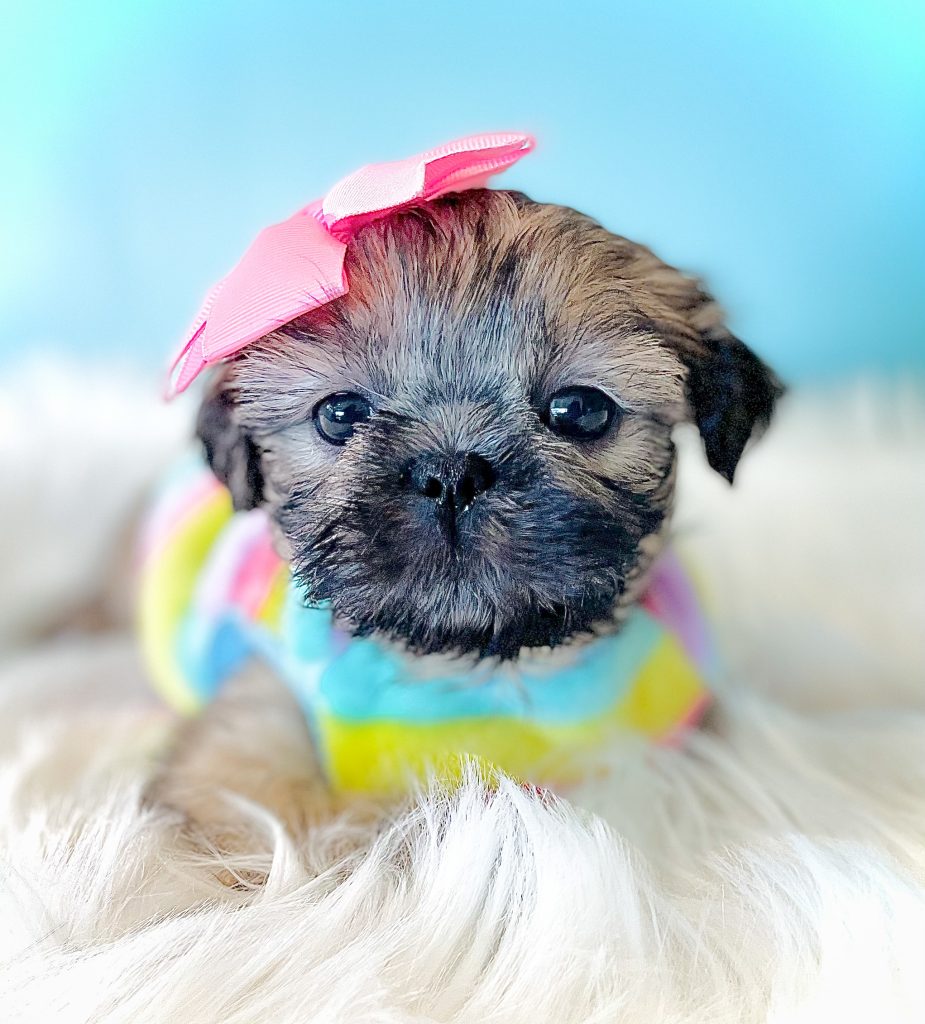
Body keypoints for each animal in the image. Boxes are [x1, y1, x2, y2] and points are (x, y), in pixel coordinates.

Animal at [144, 136, 782, 835]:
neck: (480, 675)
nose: (451, 474)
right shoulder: (254, 711)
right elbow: (261, 802)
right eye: (340, 415)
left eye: (580, 410)